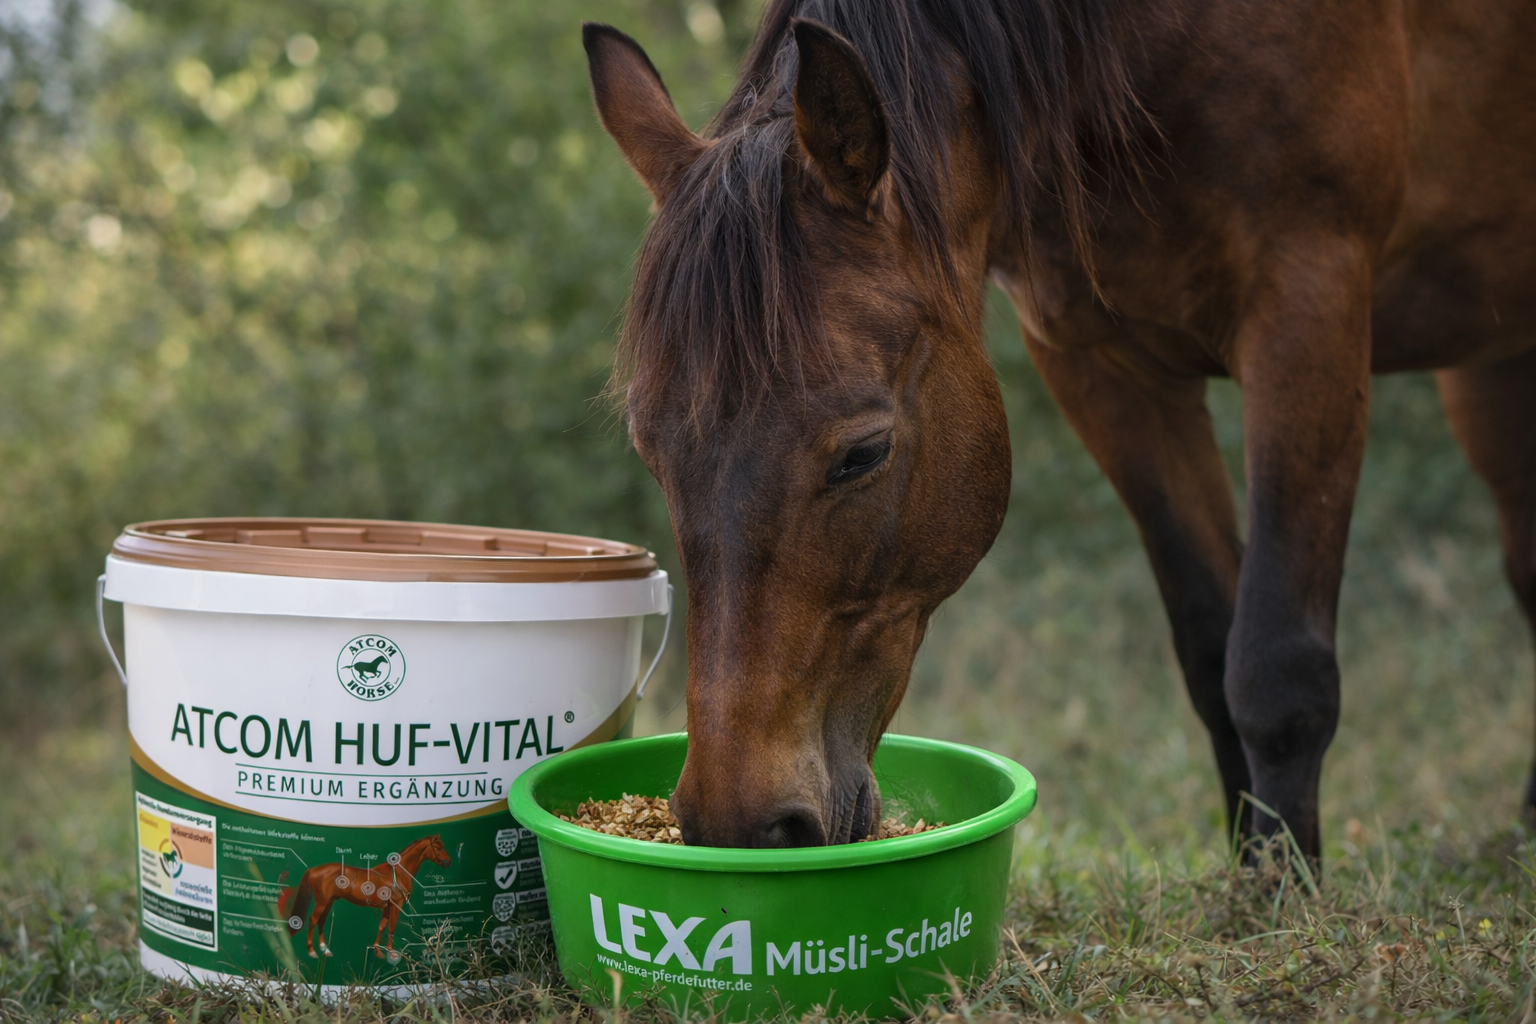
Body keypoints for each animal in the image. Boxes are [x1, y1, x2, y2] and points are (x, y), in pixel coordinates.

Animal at [280, 834, 450, 960]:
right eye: (438, 847)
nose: (448, 862)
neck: (398, 873)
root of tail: (314, 869)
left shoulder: (387, 906)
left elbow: (382, 926)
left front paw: (378, 951)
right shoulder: (396, 904)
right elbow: (391, 928)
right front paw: (391, 953)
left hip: (328, 902)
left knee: (321, 921)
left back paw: (325, 950)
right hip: (321, 903)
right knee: (313, 920)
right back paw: (312, 952)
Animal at [582, 0, 1536, 856]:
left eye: (863, 455)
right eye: (652, 454)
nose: (737, 824)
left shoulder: (1308, 307)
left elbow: (1277, 670)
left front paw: (1283, 898)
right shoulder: (1102, 365)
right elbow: (1209, 653)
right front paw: (1243, 884)